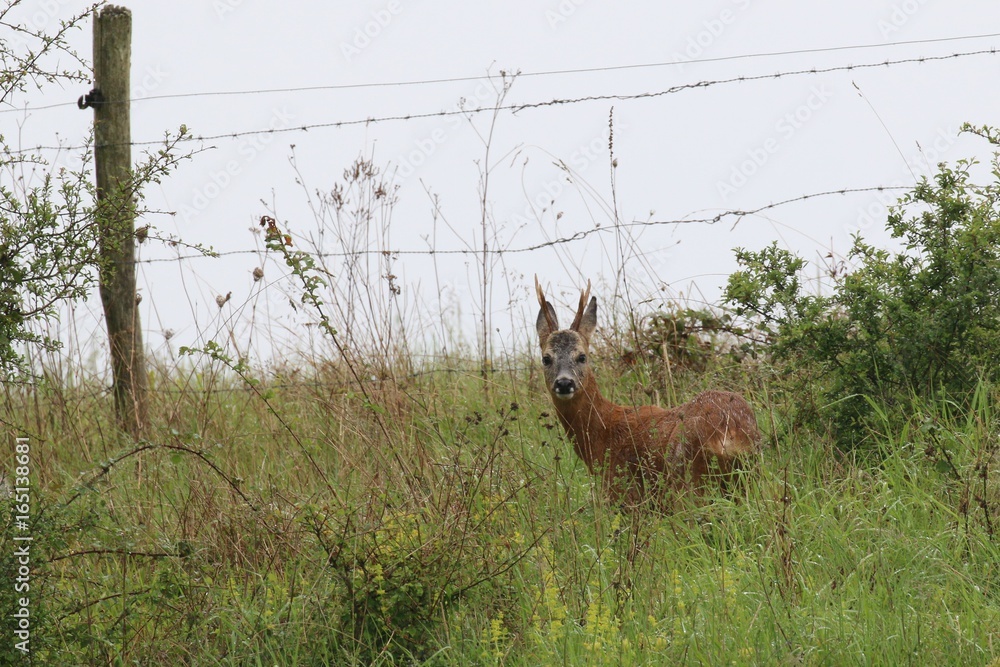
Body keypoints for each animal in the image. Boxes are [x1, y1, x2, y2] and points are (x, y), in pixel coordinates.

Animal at [540, 278, 756, 506]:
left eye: (582, 357)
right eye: (546, 358)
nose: (564, 383)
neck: (603, 433)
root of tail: (729, 432)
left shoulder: (623, 491)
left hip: (686, 478)